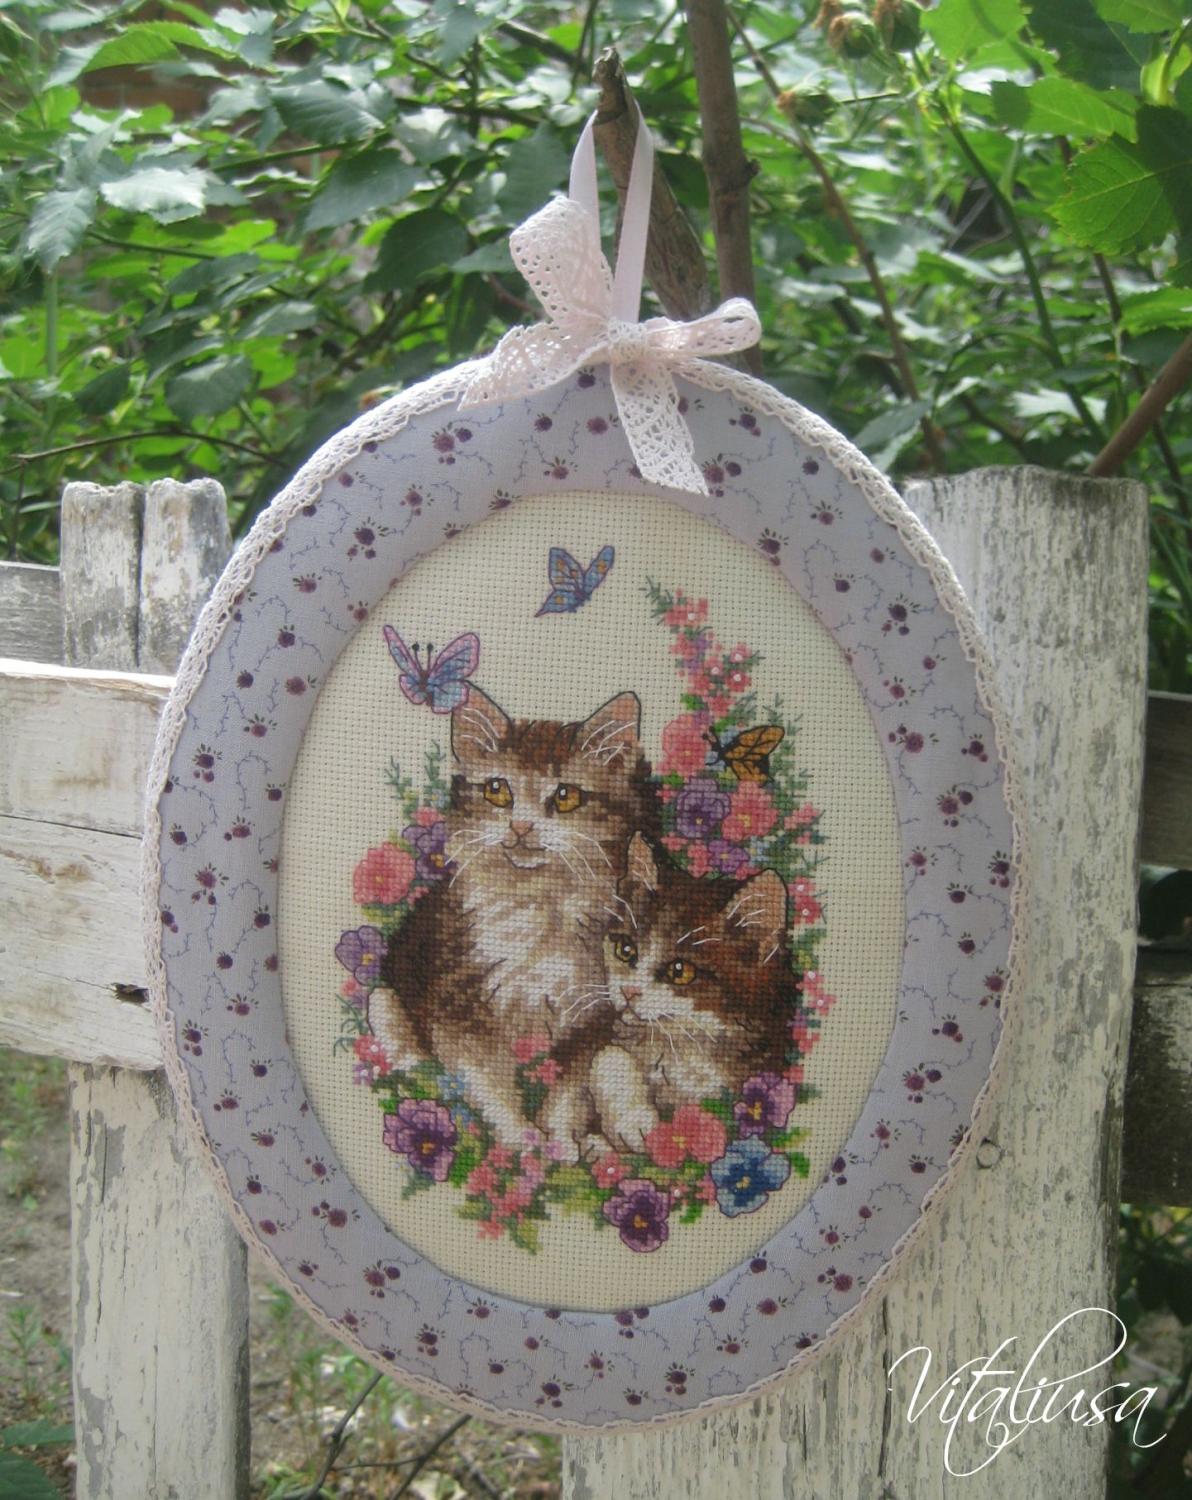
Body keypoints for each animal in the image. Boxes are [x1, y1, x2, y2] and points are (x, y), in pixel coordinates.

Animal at [370, 686, 658, 1155]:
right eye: (496, 790)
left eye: (566, 796)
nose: (521, 826)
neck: (535, 903)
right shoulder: (455, 1005)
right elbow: (489, 1084)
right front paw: (523, 1145)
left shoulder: (592, 1014)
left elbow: (567, 1090)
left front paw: (560, 1146)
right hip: (387, 993)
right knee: (403, 1040)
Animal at [584, 832, 797, 1155]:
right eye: (625, 949)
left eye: (679, 971)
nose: (629, 991)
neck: (682, 1043)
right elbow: (607, 1053)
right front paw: (632, 1121)